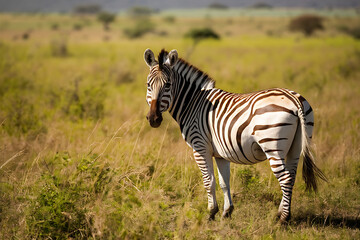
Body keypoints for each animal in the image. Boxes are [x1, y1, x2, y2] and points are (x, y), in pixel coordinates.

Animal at [143, 48, 326, 223]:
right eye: (148, 84)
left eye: (168, 84)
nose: (154, 119)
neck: (192, 103)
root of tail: (294, 99)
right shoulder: (220, 153)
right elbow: (224, 182)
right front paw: (227, 212)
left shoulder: (200, 147)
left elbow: (209, 181)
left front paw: (211, 213)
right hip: (296, 146)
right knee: (292, 176)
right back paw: (280, 213)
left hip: (272, 145)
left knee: (286, 178)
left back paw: (283, 219)